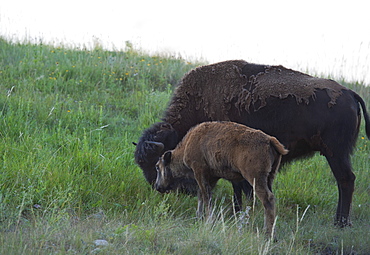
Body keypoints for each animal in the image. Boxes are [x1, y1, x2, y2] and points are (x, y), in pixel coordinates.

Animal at [155, 121, 288, 235]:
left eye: (157, 167)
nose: (157, 186)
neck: (189, 143)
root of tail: (269, 140)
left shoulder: (199, 171)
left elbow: (206, 197)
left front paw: (208, 221)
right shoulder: (212, 177)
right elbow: (202, 196)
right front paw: (199, 217)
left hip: (255, 178)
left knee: (268, 199)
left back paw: (268, 234)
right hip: (270, 177)